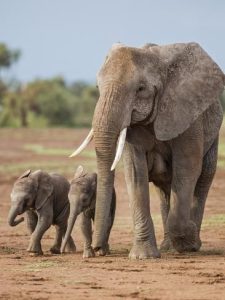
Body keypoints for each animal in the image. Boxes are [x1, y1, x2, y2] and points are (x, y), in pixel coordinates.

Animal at [71, 41, 225, 258]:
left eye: (141, 88)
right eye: (97, 87)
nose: (98, 249)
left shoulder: (188, 116)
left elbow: (187, 169)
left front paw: (188, 240)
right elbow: (136, 174)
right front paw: (143, 256)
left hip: (213, 136)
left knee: (202, 180)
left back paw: (191, 242)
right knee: (165, 189)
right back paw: (169, 247)